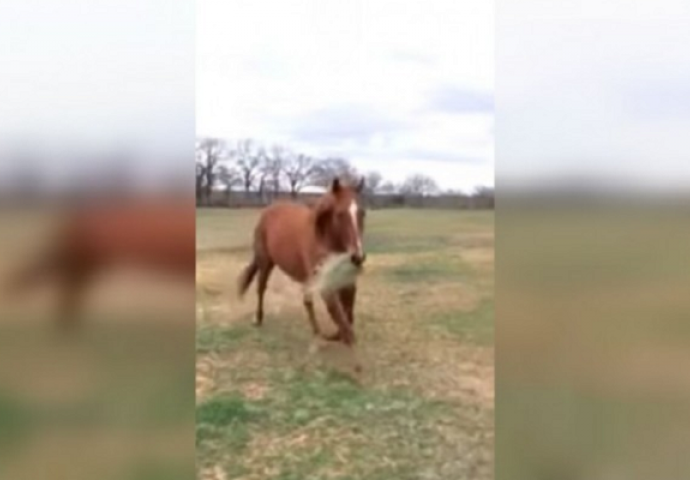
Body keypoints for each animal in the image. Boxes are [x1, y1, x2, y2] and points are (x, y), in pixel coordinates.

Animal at [236, 175, 366, 344]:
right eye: (339, 214)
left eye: (363, 213)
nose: (358, 257)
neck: (323, 240)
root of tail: (269, 210)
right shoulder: (325, 285)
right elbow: (341, 320)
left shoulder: (345, 281)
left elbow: (346, 314)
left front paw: (335, 335)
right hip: (265, 262)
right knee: (261, 288)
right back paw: (258, 319)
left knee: (307, 301)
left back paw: (316, 331)